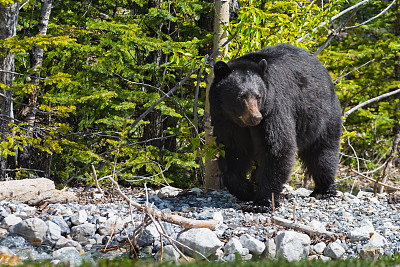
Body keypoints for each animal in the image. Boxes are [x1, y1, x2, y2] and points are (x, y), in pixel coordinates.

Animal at [208, 43, 342, 213]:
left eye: (258, 96)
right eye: (241, 96)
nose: (256, 117)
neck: (243, 124)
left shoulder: (274, 109)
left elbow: (277, 147)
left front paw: (262, 202)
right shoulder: (226, 121)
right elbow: (234, 151)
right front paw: (248, 190)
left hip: (322, 116)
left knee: (322, 152)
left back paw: (324, 190)